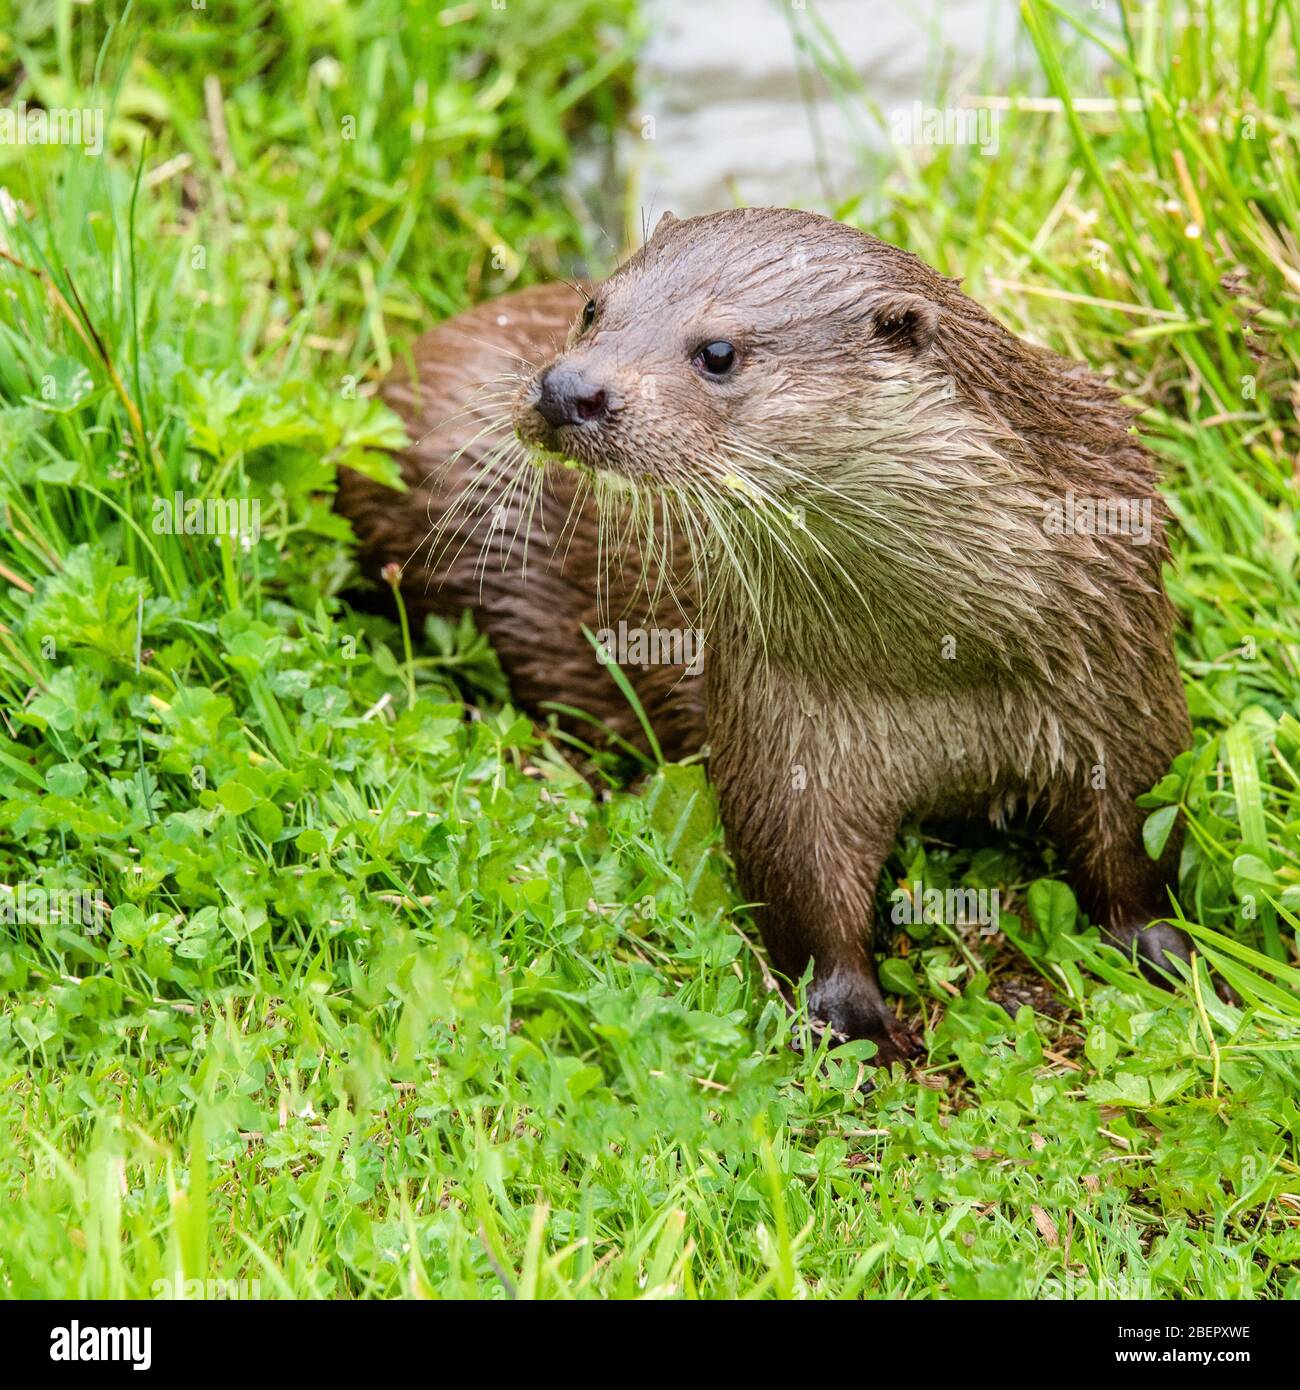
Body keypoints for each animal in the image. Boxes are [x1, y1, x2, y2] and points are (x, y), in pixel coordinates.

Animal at [338, 207, 1194, 1064]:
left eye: (718, 352)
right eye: (592, 309)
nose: (566, 387)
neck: (945, 663)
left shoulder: (1118, 682)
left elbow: (1134, 846)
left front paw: (1173, 963)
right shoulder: (779, 730)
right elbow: (804, 896)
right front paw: (855, 1032)